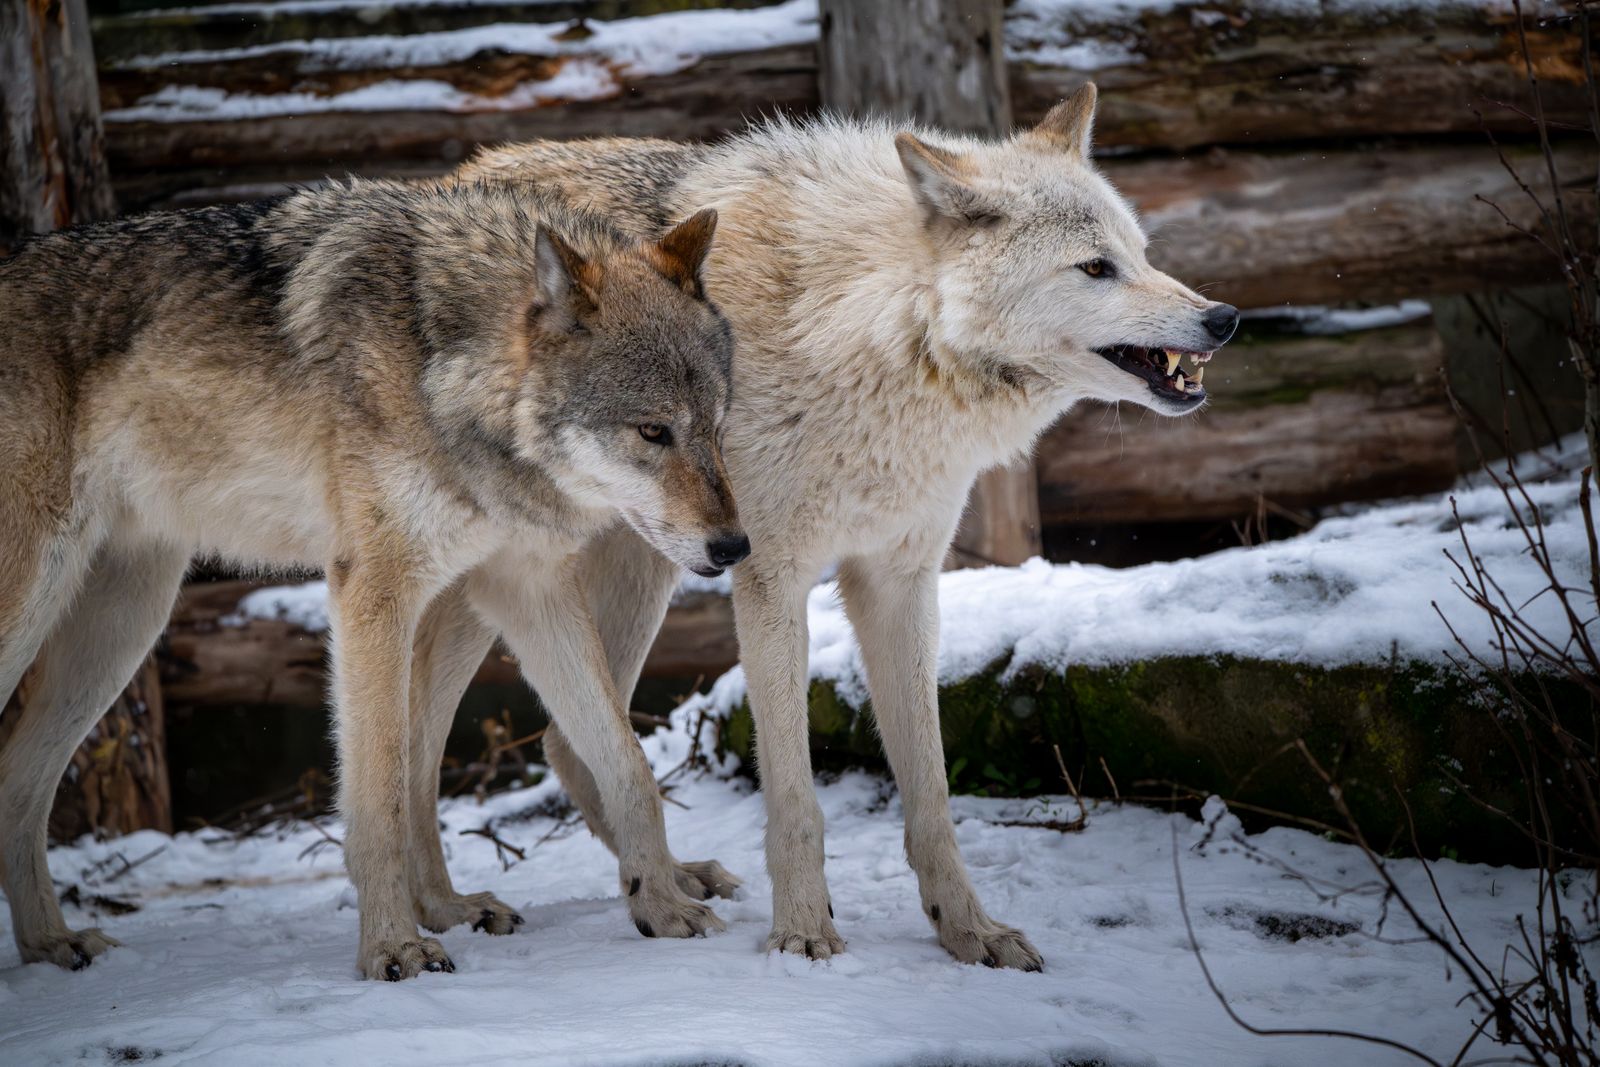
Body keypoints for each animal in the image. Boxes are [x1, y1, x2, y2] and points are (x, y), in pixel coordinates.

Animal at [0, 179, 750, 979]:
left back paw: (52, 942)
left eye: (715, 428)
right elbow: (383, 796)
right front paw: (394, 949)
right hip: (44, 606)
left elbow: (627, 764)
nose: (735, 546)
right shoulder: (374, 592)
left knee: (19, 780)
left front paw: (659, 904)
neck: (442, 367)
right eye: (652, 432)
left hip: (129, 620)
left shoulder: (526, 587)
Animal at [428, 82, 1239, 970]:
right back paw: (440, 911)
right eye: (1095, 267)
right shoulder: (771, 577)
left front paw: (968, 930)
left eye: (1142, 253)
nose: (1224, 316)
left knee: (566, 744)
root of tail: (458, 173)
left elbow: (932, 795)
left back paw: (667, 881)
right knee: (418, 734)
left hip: (646, 571)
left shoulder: (899, 581)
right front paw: (804, 934)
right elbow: (795, 799)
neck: (880, 331)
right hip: (504, 585)